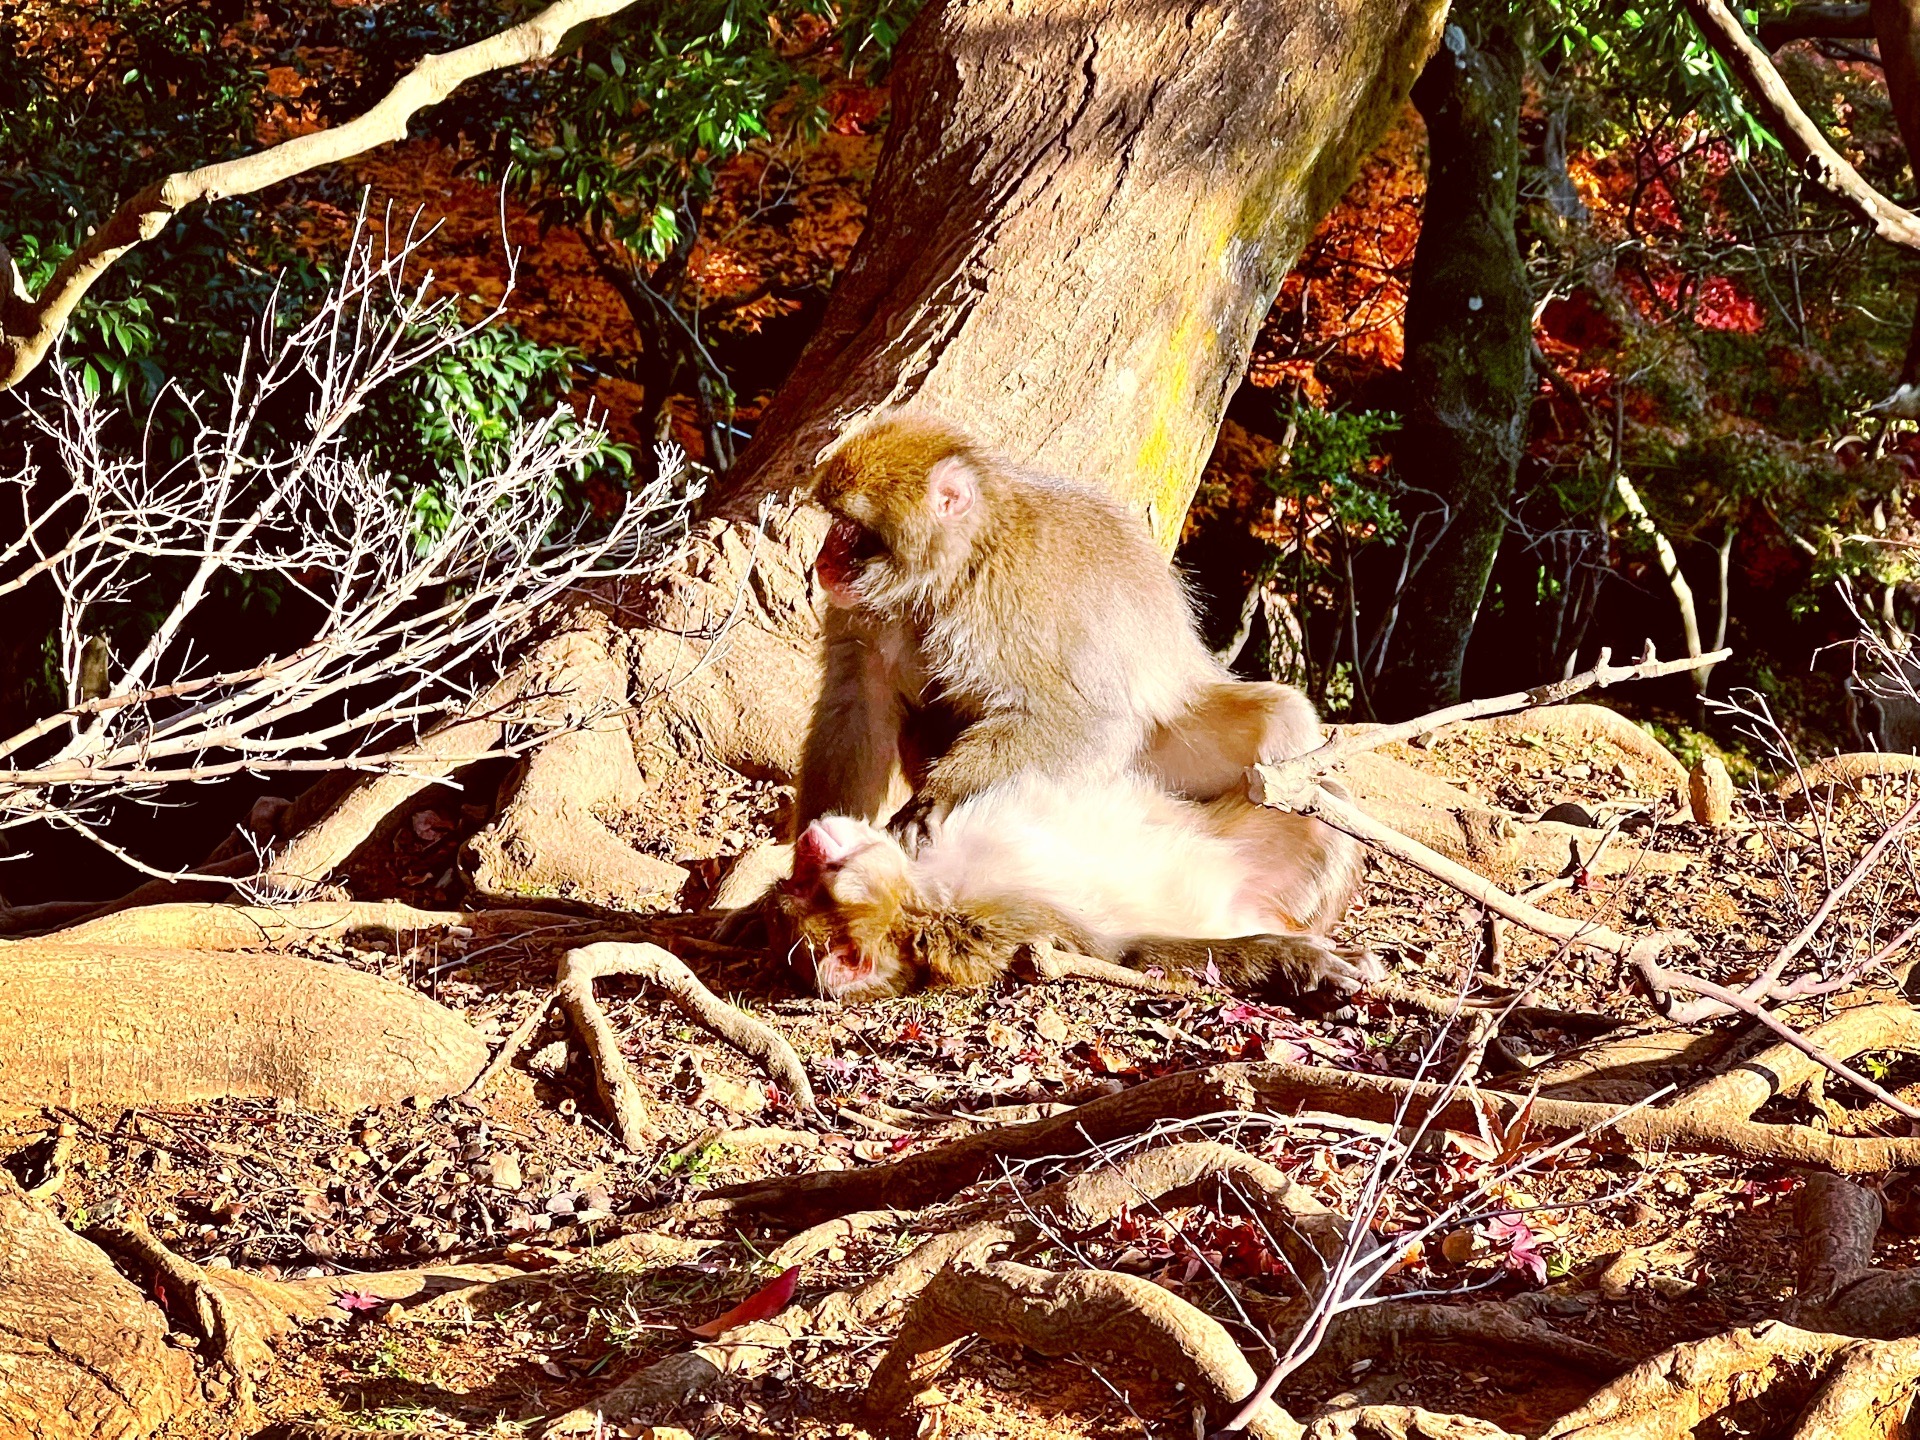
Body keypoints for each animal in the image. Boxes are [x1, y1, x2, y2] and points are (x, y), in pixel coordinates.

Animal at [779, 771, 1382, 1006]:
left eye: (799, 880)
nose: (808, 841)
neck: (928, 892)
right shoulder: (999, 927)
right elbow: (1119, 952)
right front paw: (1295, 963)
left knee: (1323, 802)